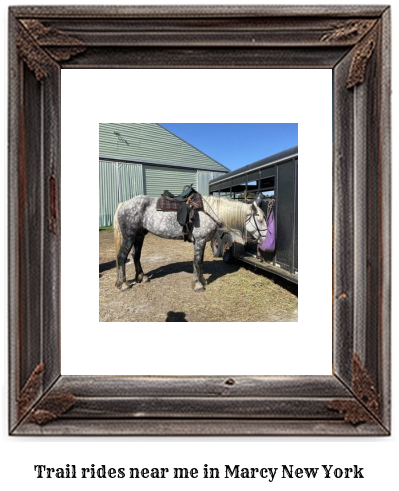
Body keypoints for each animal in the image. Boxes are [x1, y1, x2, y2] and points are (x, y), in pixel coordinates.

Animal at [114, 194, 268, 290]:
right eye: (260, 219)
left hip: (139, 236)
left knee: (136, 256)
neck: (209, 211)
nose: (265, 239)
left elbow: (200, 262)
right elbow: (197, 262)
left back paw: (142, 277)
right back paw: (123, 284)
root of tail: (123, 204)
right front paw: (198, 285)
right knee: (122, 257)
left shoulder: (202, 241)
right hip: (129, 236)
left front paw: (202, 280)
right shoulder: (200, 240)